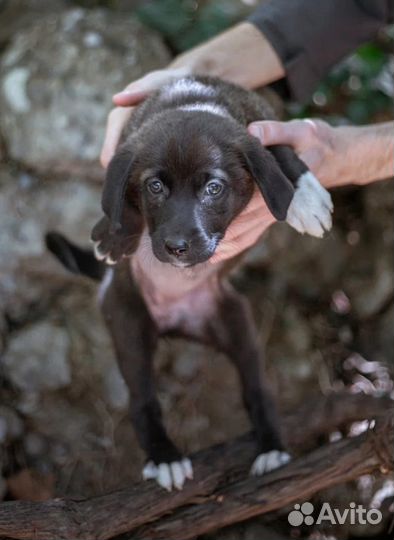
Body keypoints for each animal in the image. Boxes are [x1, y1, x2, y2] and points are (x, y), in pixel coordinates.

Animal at [46, 76, 332, 494]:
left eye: (213, 188)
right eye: (155, 187)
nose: (177, 247)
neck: (193, 98)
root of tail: (177, 322)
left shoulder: (263, 121)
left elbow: (280, 150)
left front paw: (305, 196)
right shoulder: (126, 146)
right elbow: (119, 193)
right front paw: (114, 233)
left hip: (237, 325)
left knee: (257, 389)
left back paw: (271, 449)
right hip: (128, 324)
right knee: (142, 401)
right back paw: (165, 456)